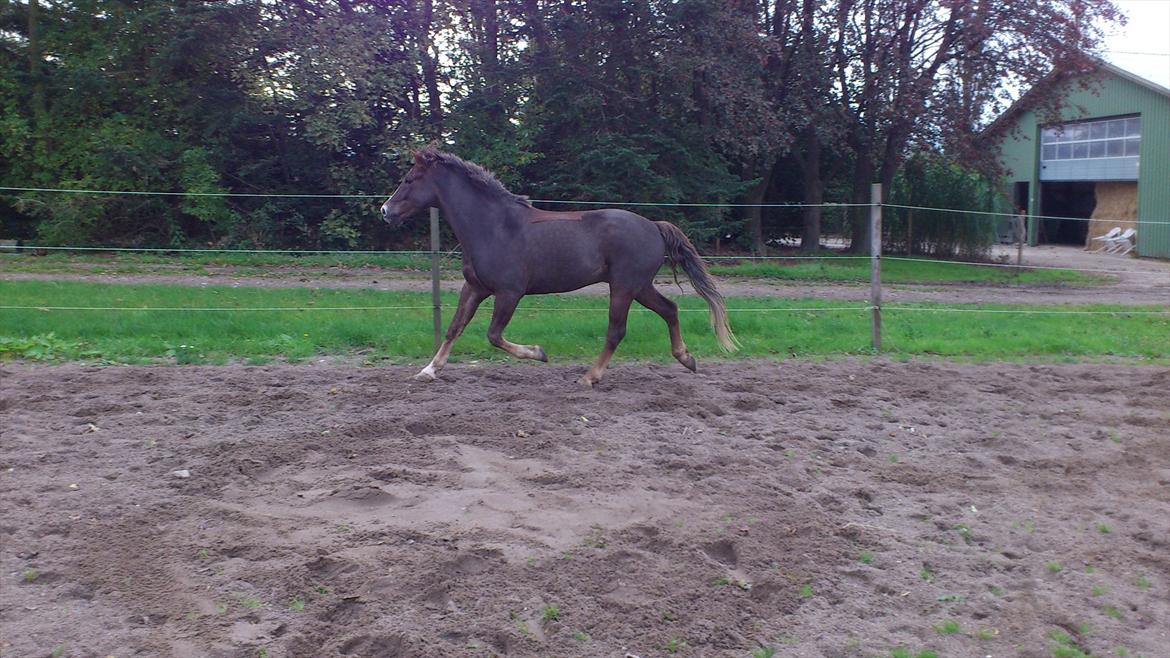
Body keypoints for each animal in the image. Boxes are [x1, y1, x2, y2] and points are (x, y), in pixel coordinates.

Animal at [379, 147, 734, 384]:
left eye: (409, 179)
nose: (385, 211)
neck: (493, 226)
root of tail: (654, 226)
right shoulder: (475, 288)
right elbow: (455, 327)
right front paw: (428, 370)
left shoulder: (509, 292)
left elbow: (494, 335)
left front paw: (539, 353)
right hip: (640, 286)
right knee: (670, 310)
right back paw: (687, 359)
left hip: (623, 288)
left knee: (616, 331)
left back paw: (590, 376)